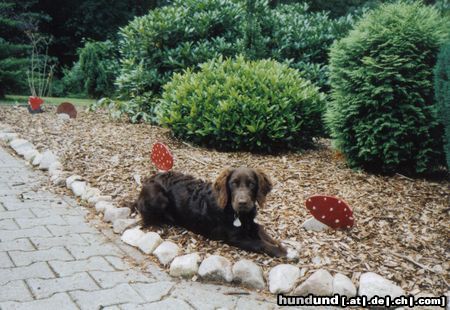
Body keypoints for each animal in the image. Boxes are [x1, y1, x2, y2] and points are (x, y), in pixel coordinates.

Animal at [130, 167, 286, 256]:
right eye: (233, 184)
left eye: (252, 184)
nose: (242, 203)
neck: (237, 214)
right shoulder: (234, 237)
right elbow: (260, 243)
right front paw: (279, 251)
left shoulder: (251, 223)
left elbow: (261, 230)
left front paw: (280, 245)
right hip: (158, 197)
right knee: (145, 218)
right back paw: (160, 226)